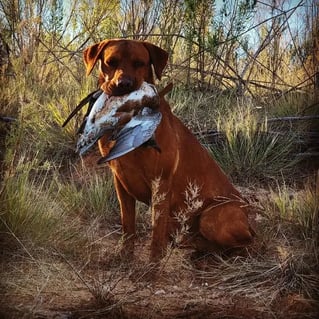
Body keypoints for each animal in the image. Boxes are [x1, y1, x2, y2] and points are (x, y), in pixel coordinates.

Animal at [84, 38, 256, 262]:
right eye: (111, 62)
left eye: (139, 63)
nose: (124, 85)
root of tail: (249, 217)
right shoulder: (120, 182)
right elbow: (127, 224)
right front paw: (125, 256)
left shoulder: (161, 182)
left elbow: (156, 232)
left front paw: (152, 266)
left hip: (212, 217)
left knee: (248, 245)